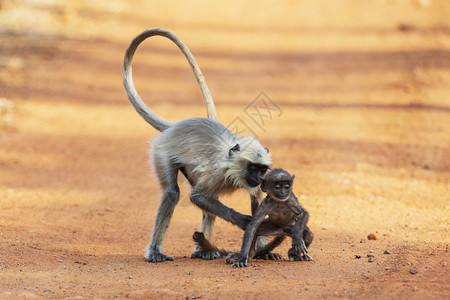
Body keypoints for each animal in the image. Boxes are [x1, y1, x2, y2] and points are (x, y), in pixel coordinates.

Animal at [122, 28, 274, 262]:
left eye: (262, 169)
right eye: (252, 167)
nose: (258, 178)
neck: (230, 161)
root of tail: (174, 127)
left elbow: (256, 200)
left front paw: (263, 249)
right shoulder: (217, 173)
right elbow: (197, 197)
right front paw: (242, 221)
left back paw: (204, 249)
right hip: (162, 151)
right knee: (173, 193)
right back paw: (156, 251)